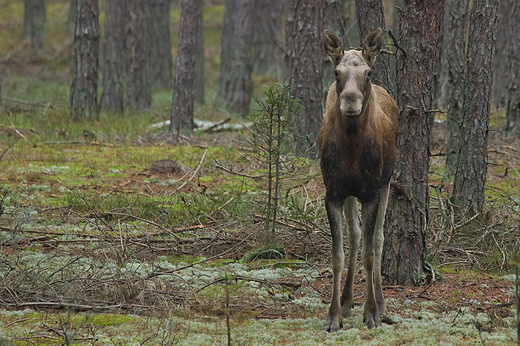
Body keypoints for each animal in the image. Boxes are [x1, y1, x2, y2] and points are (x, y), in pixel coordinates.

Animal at [318, 28, 400, 332]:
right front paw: (333, 316)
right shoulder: (333, 193)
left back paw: (381, 303)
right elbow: (337, 256)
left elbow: (369, 253)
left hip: (386, 183)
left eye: (368, 72)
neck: (352, 148)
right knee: (354, 237)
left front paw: (372, 313)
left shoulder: (372, 192)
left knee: (377, 239)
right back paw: (346, 300)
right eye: (337, 72)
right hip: (351, 194)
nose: (350, 101)